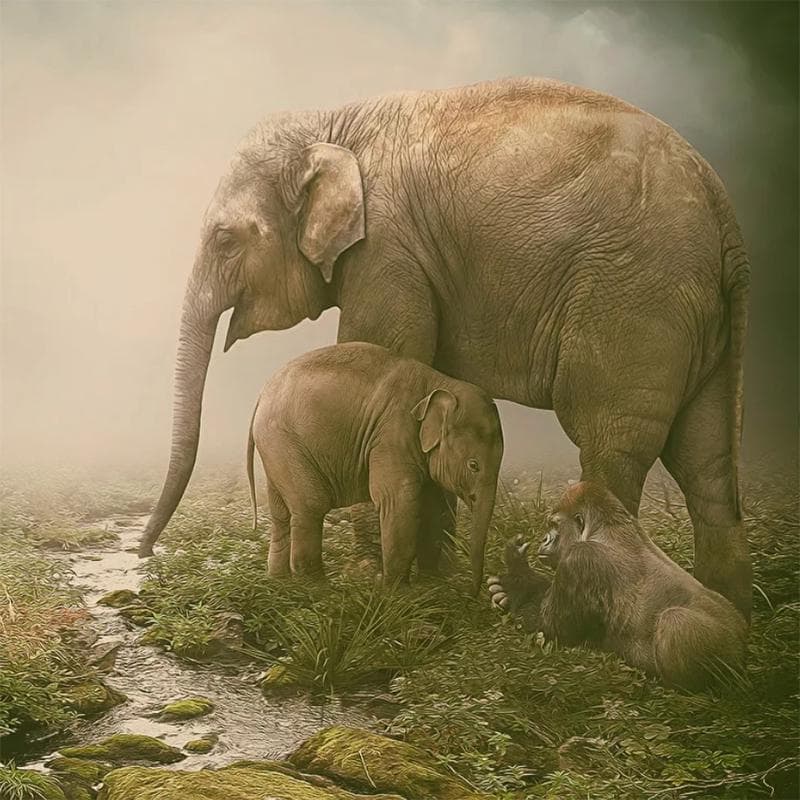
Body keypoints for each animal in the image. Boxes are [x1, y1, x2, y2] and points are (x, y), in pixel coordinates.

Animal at [245, 342, 504, 591]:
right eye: (473, 465)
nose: (473, 592)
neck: (439, 382)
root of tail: (260, 397)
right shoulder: (392, 435)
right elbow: (398, 499)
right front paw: (397, 592)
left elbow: (432, 503)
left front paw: (431, 586)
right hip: (284, 442)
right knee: (311, 505)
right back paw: (318, 588)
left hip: (276, 450)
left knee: (281, 512)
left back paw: (280, 582)